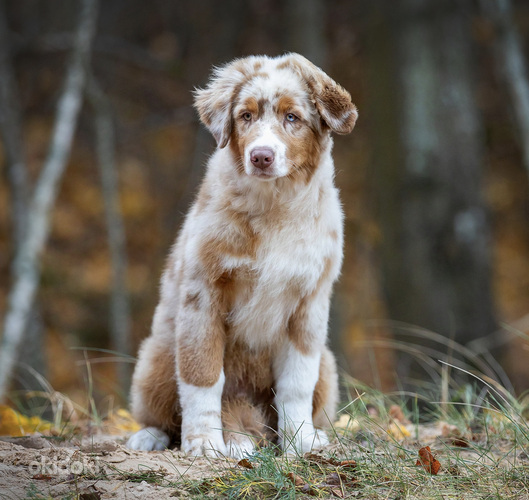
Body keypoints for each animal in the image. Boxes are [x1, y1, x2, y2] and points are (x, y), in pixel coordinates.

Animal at [126, 53, 356, 458]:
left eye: (292, 117)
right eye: (245, 116)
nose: (261, 156)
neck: (274, 207)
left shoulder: (310, 303)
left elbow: (296, 383)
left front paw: (299, 443)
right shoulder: (202, 294)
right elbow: (202, 377)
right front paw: (204, 444)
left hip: (328, 366)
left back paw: (309, 435)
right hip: (156, 355)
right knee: (164, 411)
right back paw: (152, 436)